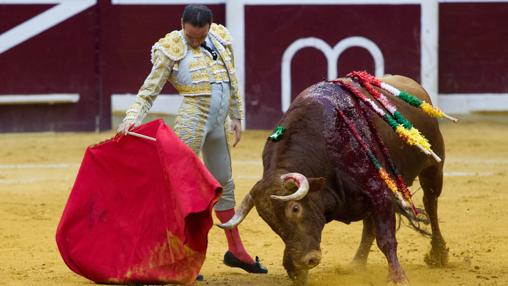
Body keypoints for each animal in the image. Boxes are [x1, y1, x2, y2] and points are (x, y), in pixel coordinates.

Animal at [220, 75, 450, 284]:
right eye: (267, 219)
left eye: (295, 208)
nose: (307, 260)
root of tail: (415, 85)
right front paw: (298, 272)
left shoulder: (379, 192)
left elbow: (386, 239)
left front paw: (397, 278)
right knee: (369, 227)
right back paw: (356, 264)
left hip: (433, 168)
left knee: (431, 205)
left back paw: (438, 254)